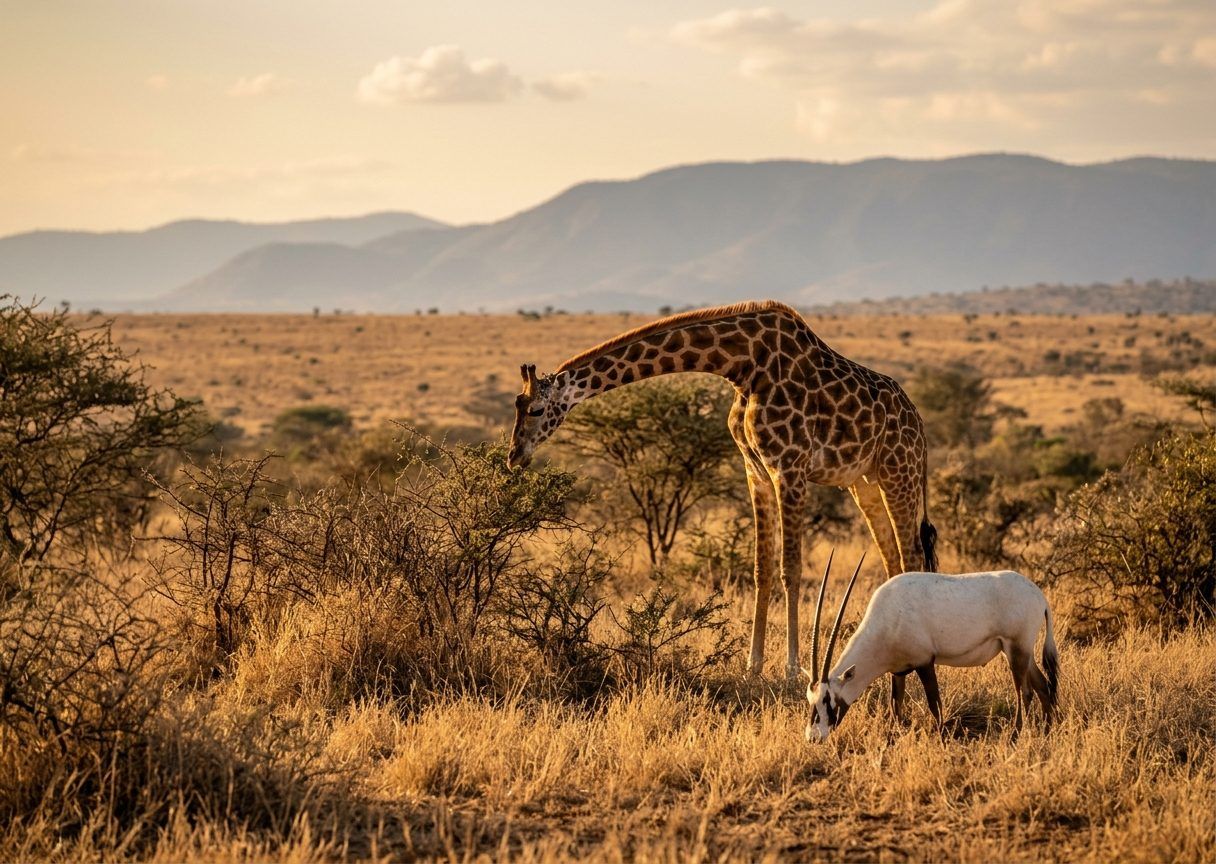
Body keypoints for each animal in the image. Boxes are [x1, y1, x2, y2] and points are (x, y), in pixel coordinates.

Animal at [507, 300, 937, 680]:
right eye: (517, 407)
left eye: (536, 410)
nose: (514, 456)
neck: (743, 366)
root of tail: (919, 422)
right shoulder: (756, 470)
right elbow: (762, 569)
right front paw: (753, 668)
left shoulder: (790, 468)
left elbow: (791, 568)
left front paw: (792, 670)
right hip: (864, 483)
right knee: (893, 561)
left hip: (899, 471)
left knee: (912, 556)